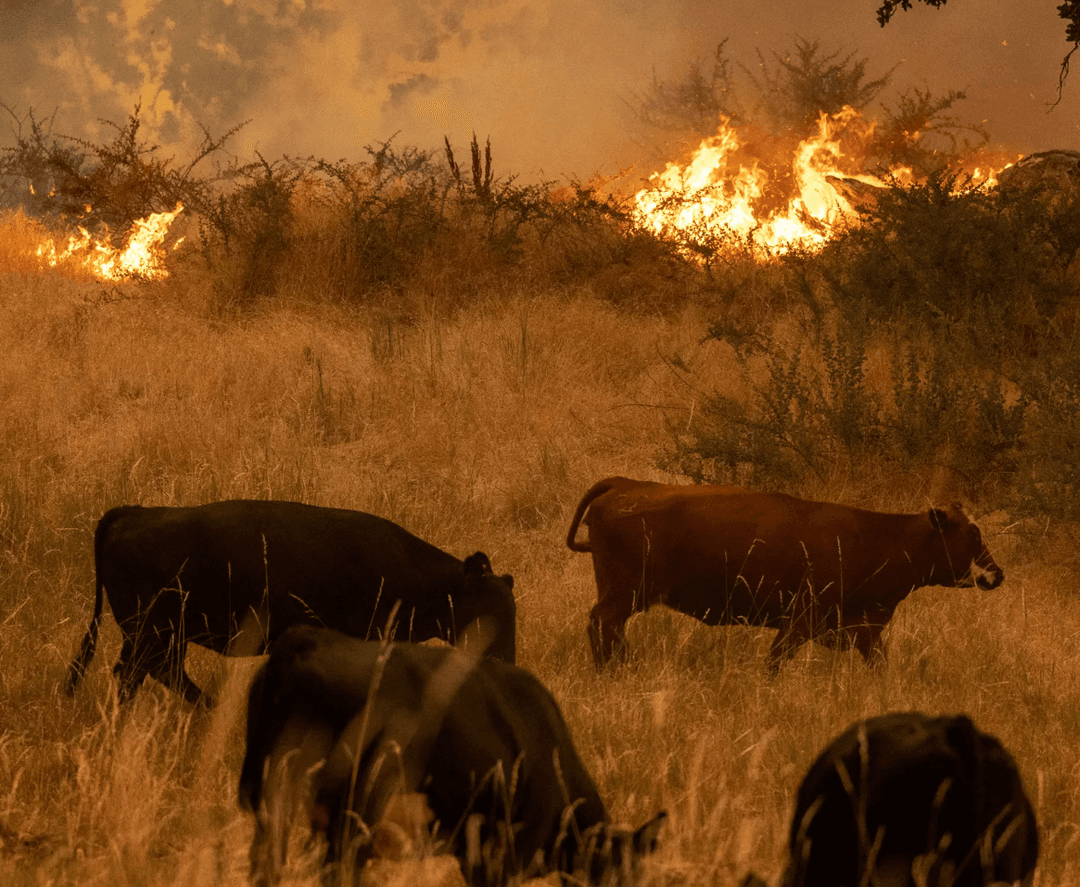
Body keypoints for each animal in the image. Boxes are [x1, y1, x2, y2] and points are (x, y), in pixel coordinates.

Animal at [65, 499, 516, 704]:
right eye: (490, 612)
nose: (505, 663)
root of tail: (136, 512)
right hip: (152, 634)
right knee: (142, 676)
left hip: (156, 637)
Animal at [565, 477, 1002, 669]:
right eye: (973, 533)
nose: (996, 574)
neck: (873, 540)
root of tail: (626, 485)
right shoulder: (798, 622)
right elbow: (774, 664)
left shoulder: (863, 630)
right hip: (624, 594)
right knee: (602, 625)